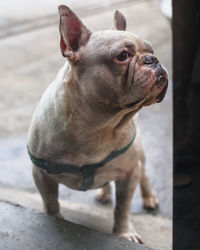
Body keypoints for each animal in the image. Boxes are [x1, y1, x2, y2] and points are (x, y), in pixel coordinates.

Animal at [27, 5, 167, 244]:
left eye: (151, 49)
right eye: (122, 56)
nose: (153, 59)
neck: (97, 127)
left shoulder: (129, 174)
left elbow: (123, 207)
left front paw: (124, 233)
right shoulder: (42, 175)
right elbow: (51, 202)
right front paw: (55, 219)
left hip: (140, 158)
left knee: (145, 176)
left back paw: (149, 197)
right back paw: (104, 193)